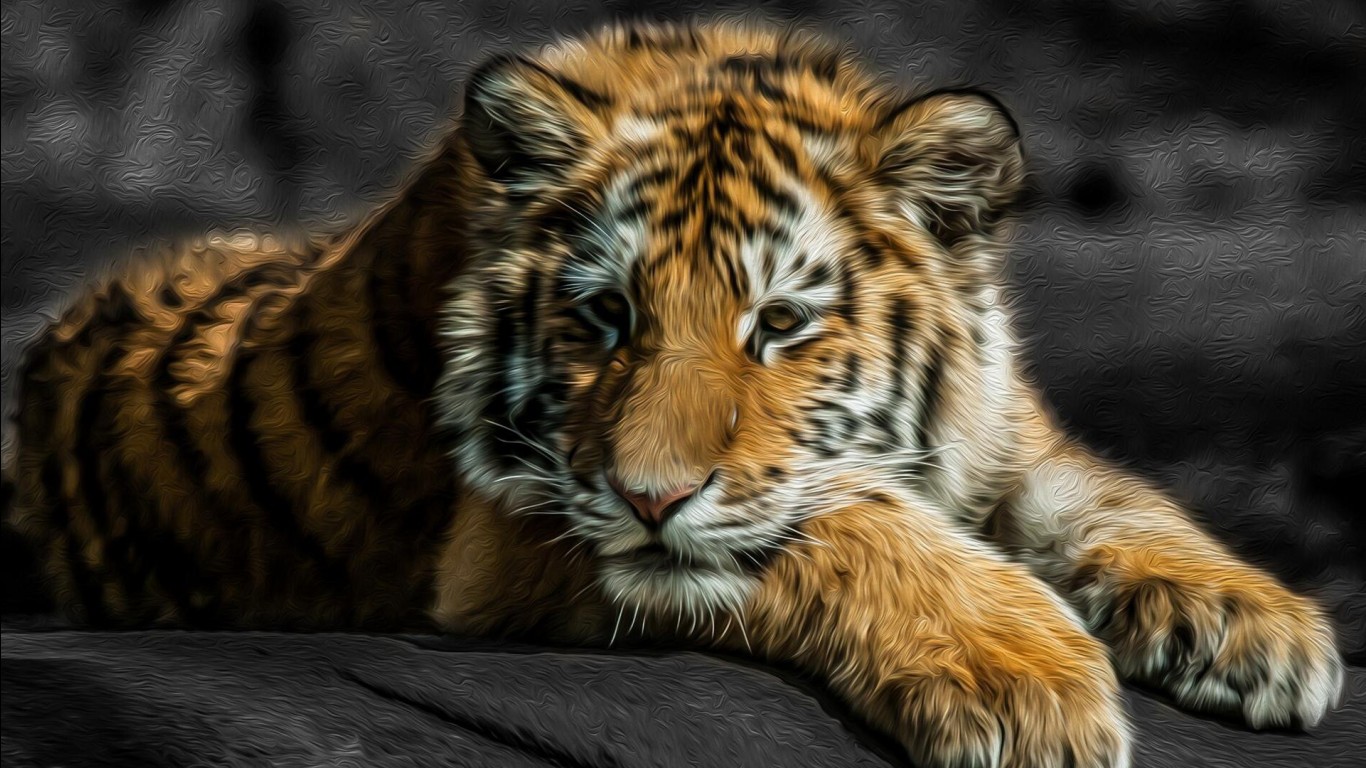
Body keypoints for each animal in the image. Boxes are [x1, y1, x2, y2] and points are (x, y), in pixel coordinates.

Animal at [3, 21, 1344, 768]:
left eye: (780, 325)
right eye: (607, 316)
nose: (650, 496)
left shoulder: (1000, 438)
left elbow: (1105, 496)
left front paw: (1258, 629)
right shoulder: (517, 534)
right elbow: (841, 524)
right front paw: (1021, 681)